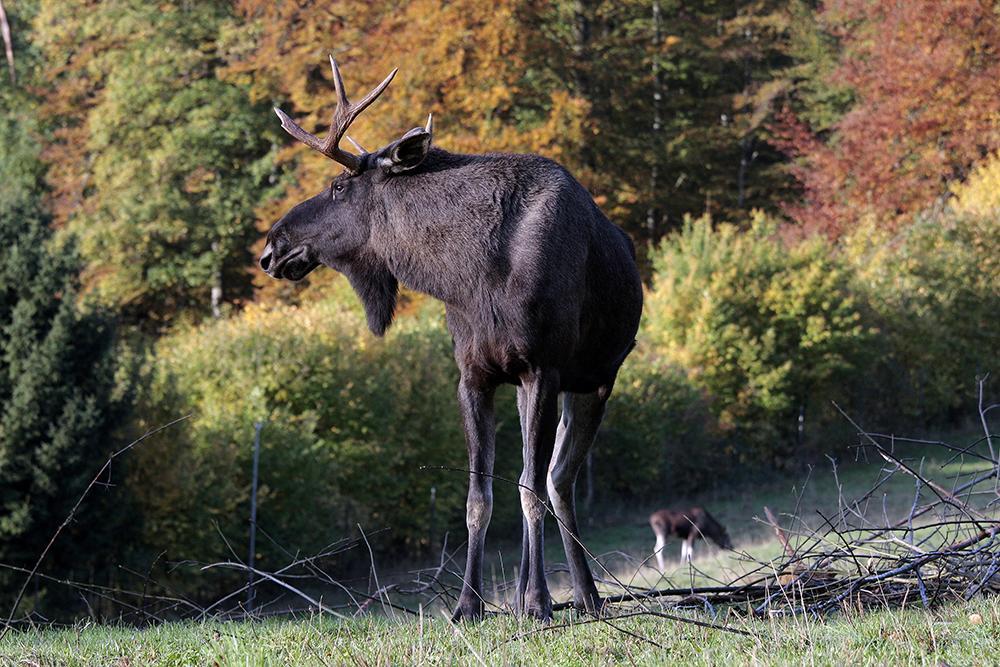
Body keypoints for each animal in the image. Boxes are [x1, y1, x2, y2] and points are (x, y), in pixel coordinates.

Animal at [258, 57, 644, 620]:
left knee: (557, 480)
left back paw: (582, 595)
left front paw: (539, 600)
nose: (270, 248)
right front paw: (468, 604)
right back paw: (545, 594)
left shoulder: (542, 368)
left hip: (596, 378)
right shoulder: (473, 375)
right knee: (543, 477)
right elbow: (478, 497)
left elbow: (529, 490)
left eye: (337, 187)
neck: (470, 275)